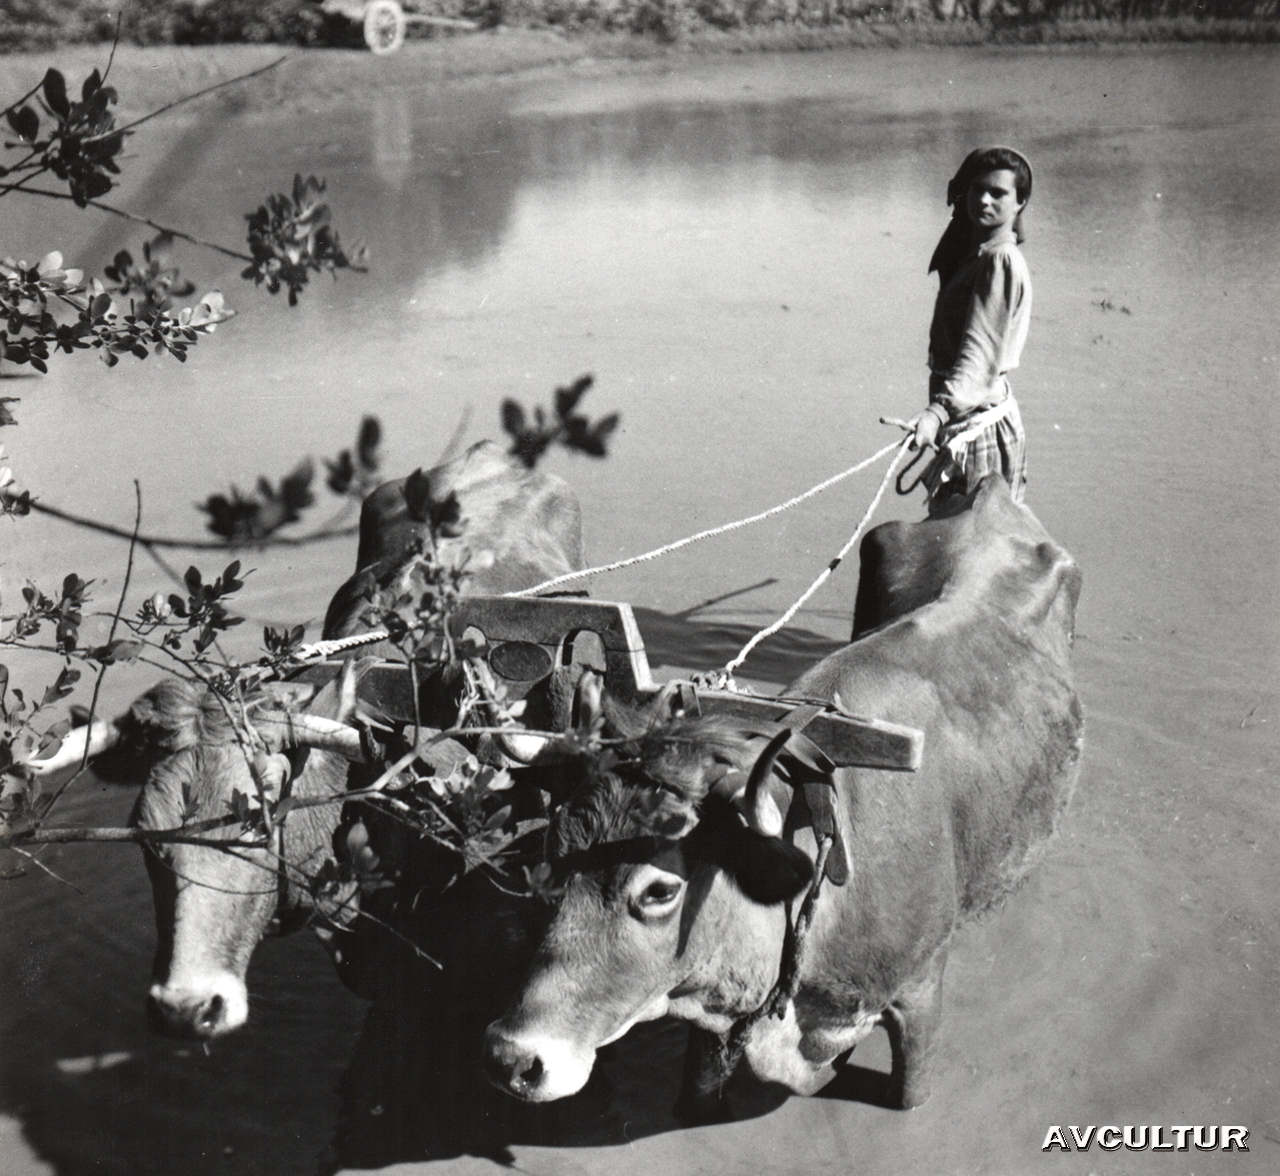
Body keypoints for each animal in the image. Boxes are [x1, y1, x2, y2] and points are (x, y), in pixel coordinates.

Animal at [482, 476, 1083, 1117]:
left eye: (660, 889)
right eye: (550, 859)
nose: (513, 1058)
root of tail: (987, 491)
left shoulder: (920, 990)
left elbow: (909, 1093)